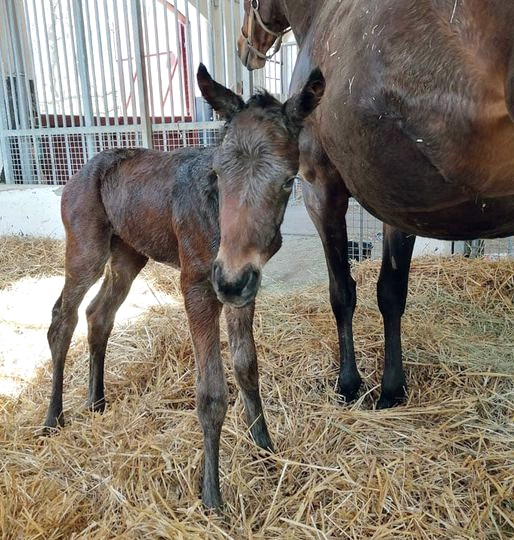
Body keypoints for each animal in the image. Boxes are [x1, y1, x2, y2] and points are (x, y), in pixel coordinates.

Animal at [208, 0, 512, 404]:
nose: (244, 47)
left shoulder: (321, 190)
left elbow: (342, 291)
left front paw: (349, 383)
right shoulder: (397, 205)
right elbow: (391, 293)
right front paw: (392, 389)